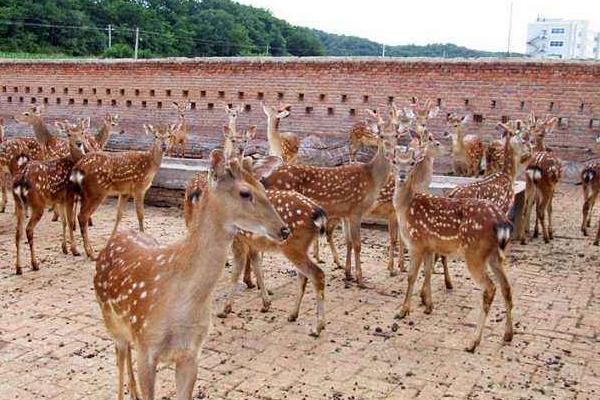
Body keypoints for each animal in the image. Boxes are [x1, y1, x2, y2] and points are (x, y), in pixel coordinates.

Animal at [12, 125, 86, 276]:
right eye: (69, 134)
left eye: (82, 132)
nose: (79, 143)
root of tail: (22, 178)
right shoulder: (69, 196)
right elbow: (70, 222)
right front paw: (75, 250)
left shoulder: (60, 199)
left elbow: (63, 222)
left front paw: (64, 249)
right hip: (37, 204)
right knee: (28, 229)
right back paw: (35, 264)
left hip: (18, 204)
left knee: (18, 233)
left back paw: (19, 268)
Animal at [72, 122, 173, 260]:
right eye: (156, 136)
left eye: (169, 136)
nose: (164, 146)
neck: (149, 165)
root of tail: (79, 167)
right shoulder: (139, 187)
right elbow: (140, 214)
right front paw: (143, 236)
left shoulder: (125, 192)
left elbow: (119, 214)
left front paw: (111, 238)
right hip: (96, 191)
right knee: (83, 216)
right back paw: (91, 253)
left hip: (84, 192)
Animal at [95, 149, 290, 400]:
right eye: (245, 193)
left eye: (263, 187)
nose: (284, 229)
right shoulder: (147, 346)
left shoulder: (191, 352)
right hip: (111, 321)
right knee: (120, 356)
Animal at [392, 142, 512, 352]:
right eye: (395, 161)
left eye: (412, 162)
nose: (402, 175)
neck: (405, 208)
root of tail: (501, 221)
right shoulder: (429, 246)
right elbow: (428, 272)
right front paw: (428, 306)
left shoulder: (416, 243)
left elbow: (411, 276)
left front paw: (403, 310)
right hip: (494, 255)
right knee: (506, 287)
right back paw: (508, 335)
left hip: (475, 253)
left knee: (490, 288)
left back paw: (473, 342)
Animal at [516, 112, 564, 244]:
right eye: (532, 131)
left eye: (540, 133)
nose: (531, 141)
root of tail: (536, 164)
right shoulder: (554, 186)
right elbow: (549, 208)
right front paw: (550, 233)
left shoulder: (537, 187)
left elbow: (535, 205)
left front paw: (535, 232)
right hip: (546, 185)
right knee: (542, 209)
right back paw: (547, 237)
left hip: (530, 183)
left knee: (525, 208)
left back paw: (523, 239)